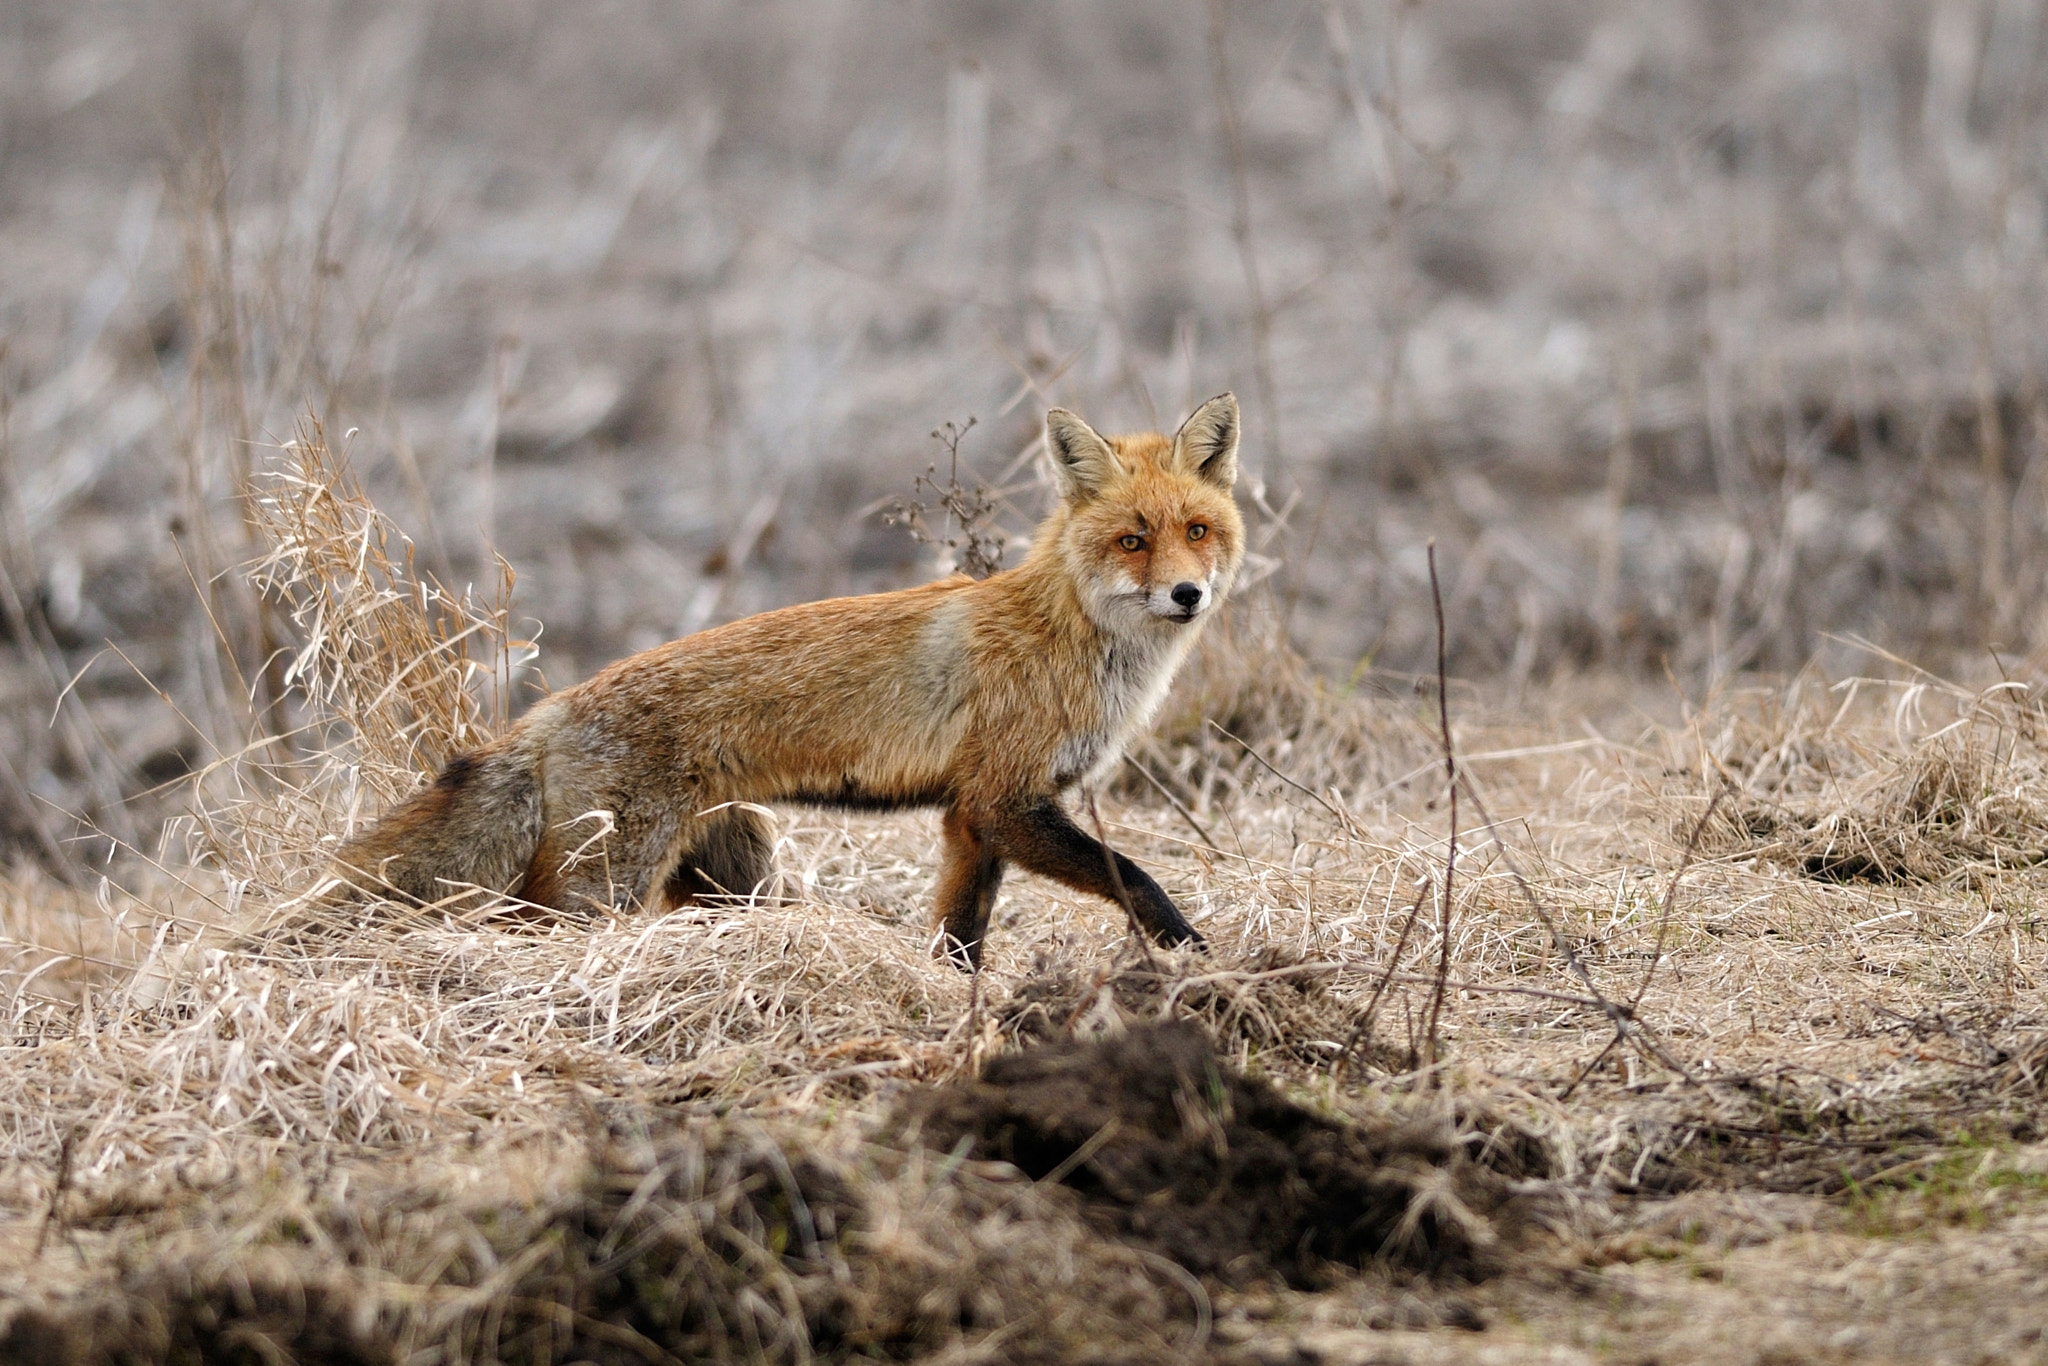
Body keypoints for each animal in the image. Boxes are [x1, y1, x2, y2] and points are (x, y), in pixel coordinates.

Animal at [327, 393, 1245, 970]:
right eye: (1133, 540)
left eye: (1198, 531)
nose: (1187, 594)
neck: (1073, 640)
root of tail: (548, 710)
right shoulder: (1004, 798)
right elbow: (1136, 874)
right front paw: (1192, 952)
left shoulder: (971, 818)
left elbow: (960, 931)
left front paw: (955, 996)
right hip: (603, 884)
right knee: (529, 926)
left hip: (733, 877)